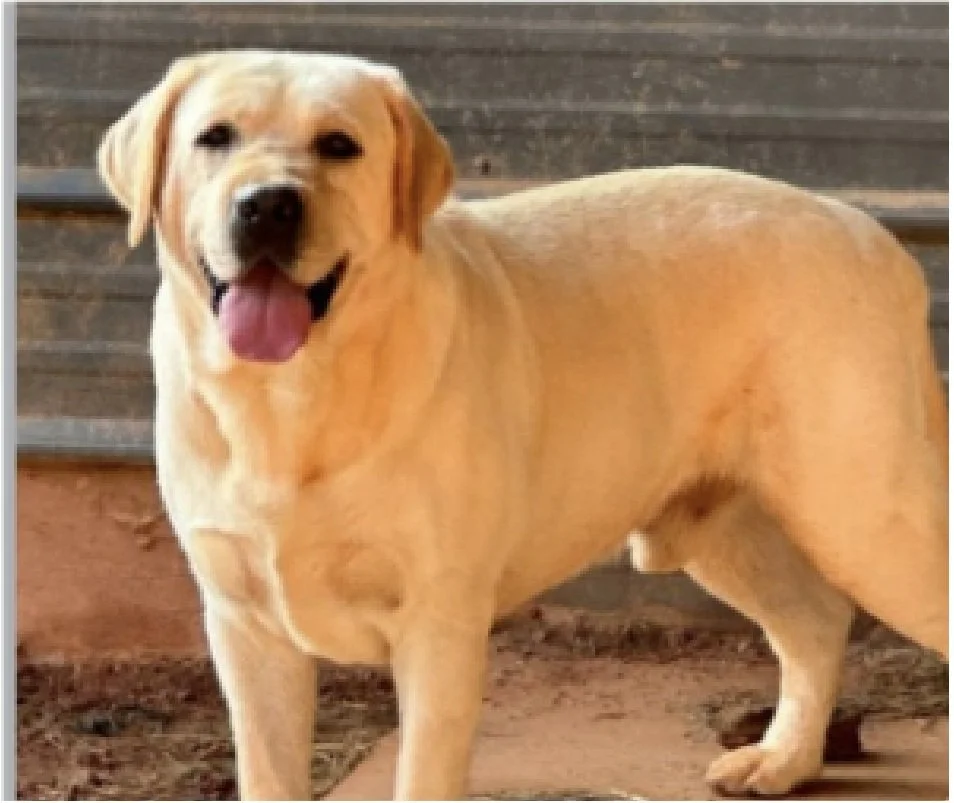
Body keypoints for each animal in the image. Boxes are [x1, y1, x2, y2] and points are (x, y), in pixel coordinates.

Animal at [97, 50, 948, 800]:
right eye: (214, 137)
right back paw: (784, 757)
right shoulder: (245, 627)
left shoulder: (439, 625)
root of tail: (873, 233)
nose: (268, 205)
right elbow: (269, 775)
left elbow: (423, 776)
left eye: (338, 144)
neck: (292, 398)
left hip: (867, 514)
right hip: (721, 525)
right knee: (817, 618)